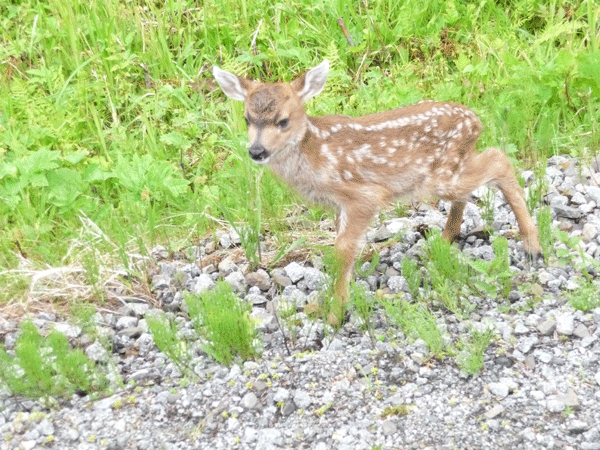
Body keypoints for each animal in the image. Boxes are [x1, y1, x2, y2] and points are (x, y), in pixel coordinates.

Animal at [212, 59, 544, 320]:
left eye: (283, 121)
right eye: (247, 119)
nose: (257, 151)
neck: (314, 154)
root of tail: (476, 121)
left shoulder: (363, 195)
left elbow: (343, 251)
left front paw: (336, 314)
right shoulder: (339, 206)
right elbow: (339, 251)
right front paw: (322, 305)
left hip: (441, 176)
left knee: (498, 159)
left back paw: (532, 244)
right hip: (451, 169)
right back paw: (445, 239)